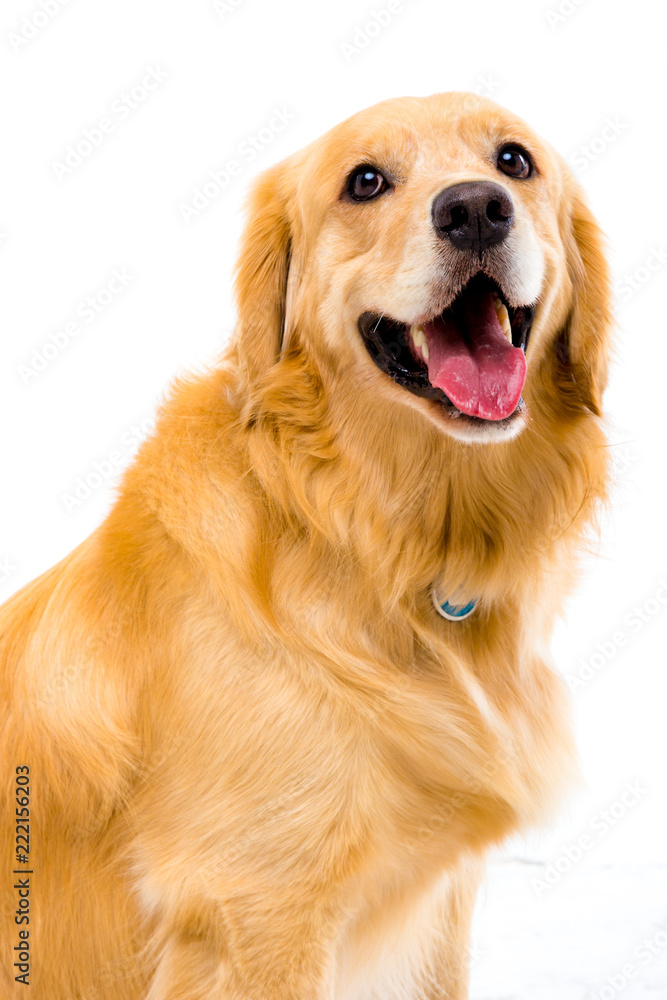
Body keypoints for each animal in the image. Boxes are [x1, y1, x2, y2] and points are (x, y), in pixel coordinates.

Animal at [1, 90, 612, 996]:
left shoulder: (437, 906)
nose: (473, 209)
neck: (369, 540)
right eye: (364, 181)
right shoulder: (257, 909)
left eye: (513, 160)